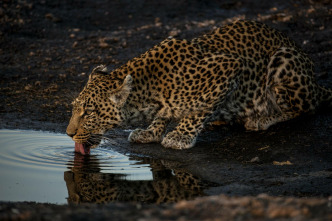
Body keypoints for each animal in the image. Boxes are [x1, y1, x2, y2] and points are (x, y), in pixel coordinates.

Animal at [66, 19, 330, 154]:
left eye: (89, 113)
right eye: (74, 108)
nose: (68, 134)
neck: (149, 89)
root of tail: (316, 83)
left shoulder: (230, 67)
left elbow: (198, 111)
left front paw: (180, 136)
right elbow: (164, 115)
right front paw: (151, 131)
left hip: (284, 60)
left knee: (306, 108)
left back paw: (261, 119)